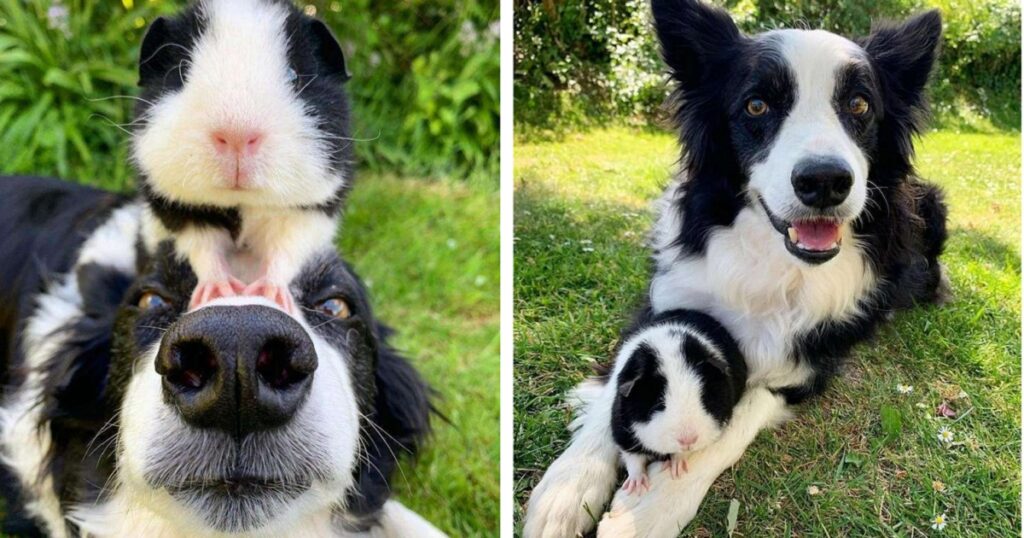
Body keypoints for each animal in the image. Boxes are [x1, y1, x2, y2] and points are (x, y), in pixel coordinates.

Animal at [524, 2, 946, 532]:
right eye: (757, 106)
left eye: (859, 105)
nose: (825, 181)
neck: (770, 261)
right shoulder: (665, 301)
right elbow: (621, 380)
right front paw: (567, 489)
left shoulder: (810, 361)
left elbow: (736, 417)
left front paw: (649, 510)